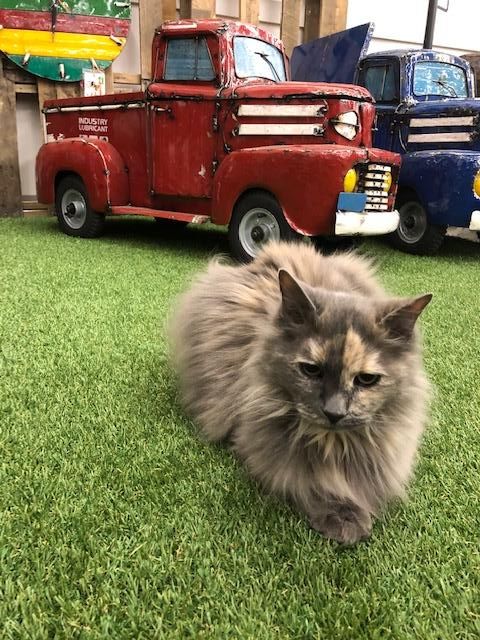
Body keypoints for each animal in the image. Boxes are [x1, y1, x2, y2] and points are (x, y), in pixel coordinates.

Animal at [170, 241, 432, 545]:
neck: (333, 444)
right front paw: (342, 516)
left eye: (366, 379)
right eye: (311, 370)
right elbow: (307, 482)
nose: (334, 412)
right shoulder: (260, 447)